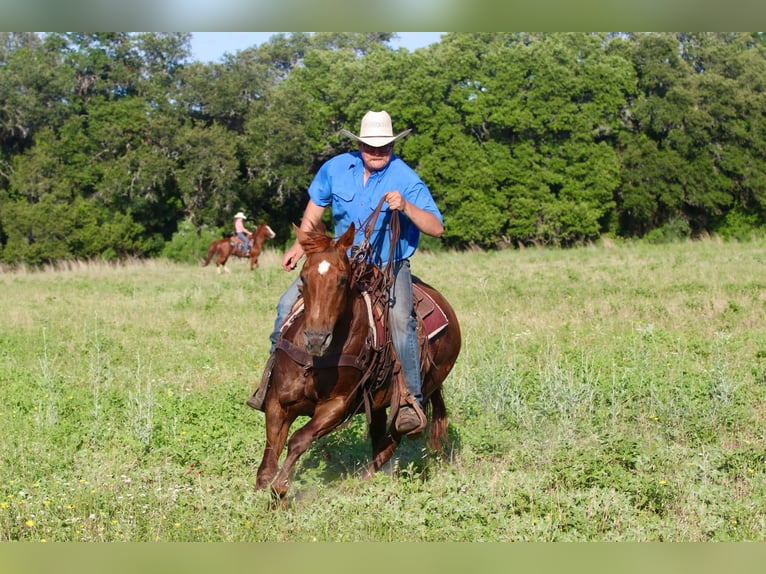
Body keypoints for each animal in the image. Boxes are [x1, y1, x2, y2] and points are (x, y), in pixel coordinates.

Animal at [251, 222, 461, 502]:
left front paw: (280, 490)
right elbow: (271, 452)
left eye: (342, 280)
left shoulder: (336, 406)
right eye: (303, 278)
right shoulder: (278, 401)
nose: (316, 339)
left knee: (389, 442)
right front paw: (261, 491)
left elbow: (298, 439)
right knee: (379, 438)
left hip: (418, 394)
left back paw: (362, 482)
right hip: (380, 402)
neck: (314, 363)